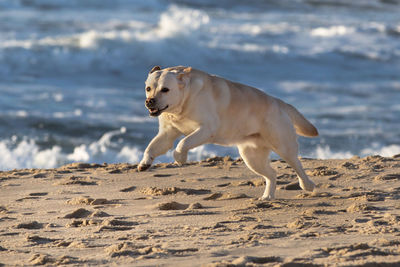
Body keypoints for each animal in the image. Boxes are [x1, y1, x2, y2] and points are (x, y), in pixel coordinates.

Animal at [138, 66, 318, 200]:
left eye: (165, 90)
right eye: (148, 88)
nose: (149, 101)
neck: (183, 103)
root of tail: (280, 102)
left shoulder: (206, 128)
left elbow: (183, 143)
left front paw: (180, 158)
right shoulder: (167, 133)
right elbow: (151, 147)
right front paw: (145, 163)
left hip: (283, 146)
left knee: (298, 166)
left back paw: (307, 185)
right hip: (251, 157)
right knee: (272, 174)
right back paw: (267, 196)